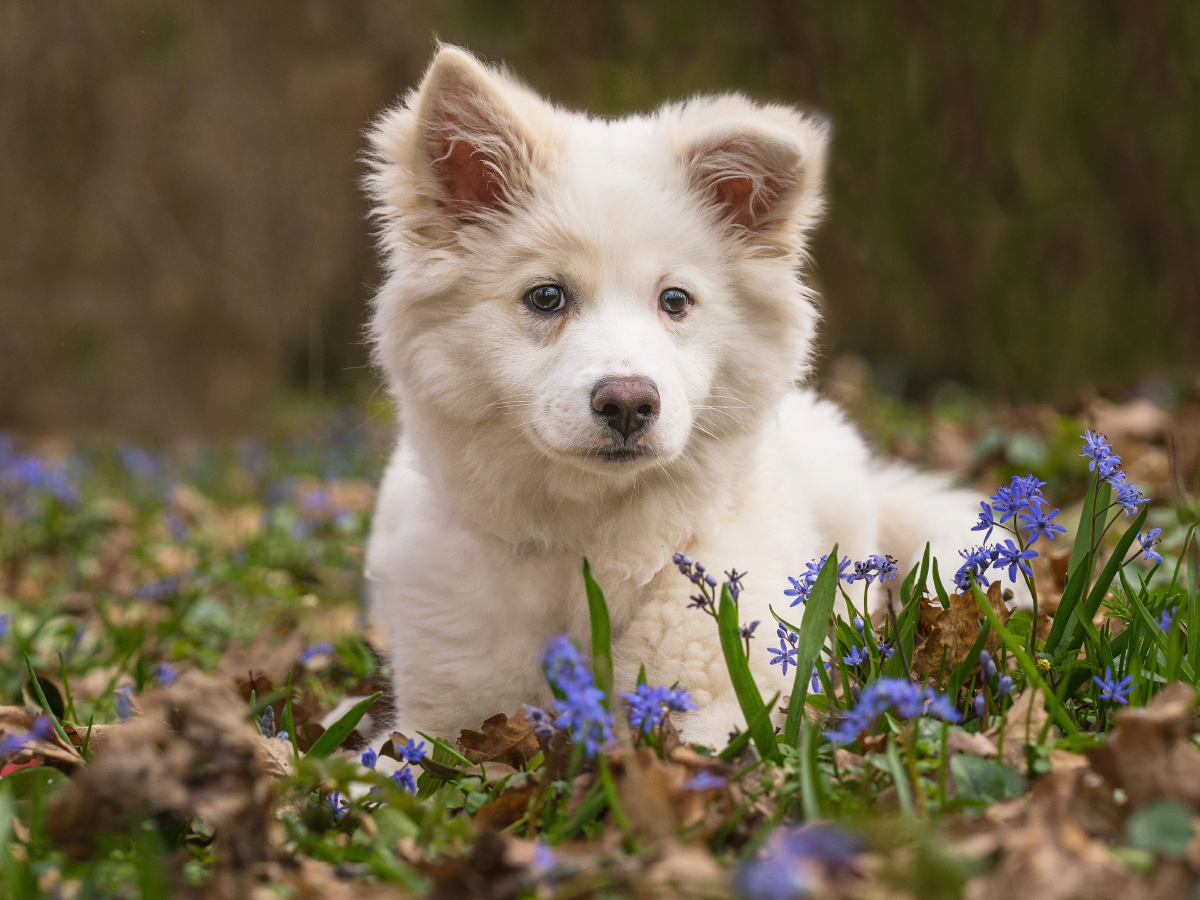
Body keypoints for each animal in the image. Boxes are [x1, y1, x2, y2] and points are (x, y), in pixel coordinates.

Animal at [364, 47, 993, 748]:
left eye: (674, 300)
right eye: (546, 297)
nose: (628, 404)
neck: (590, 547)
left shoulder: (742, 699)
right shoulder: (436, 722)